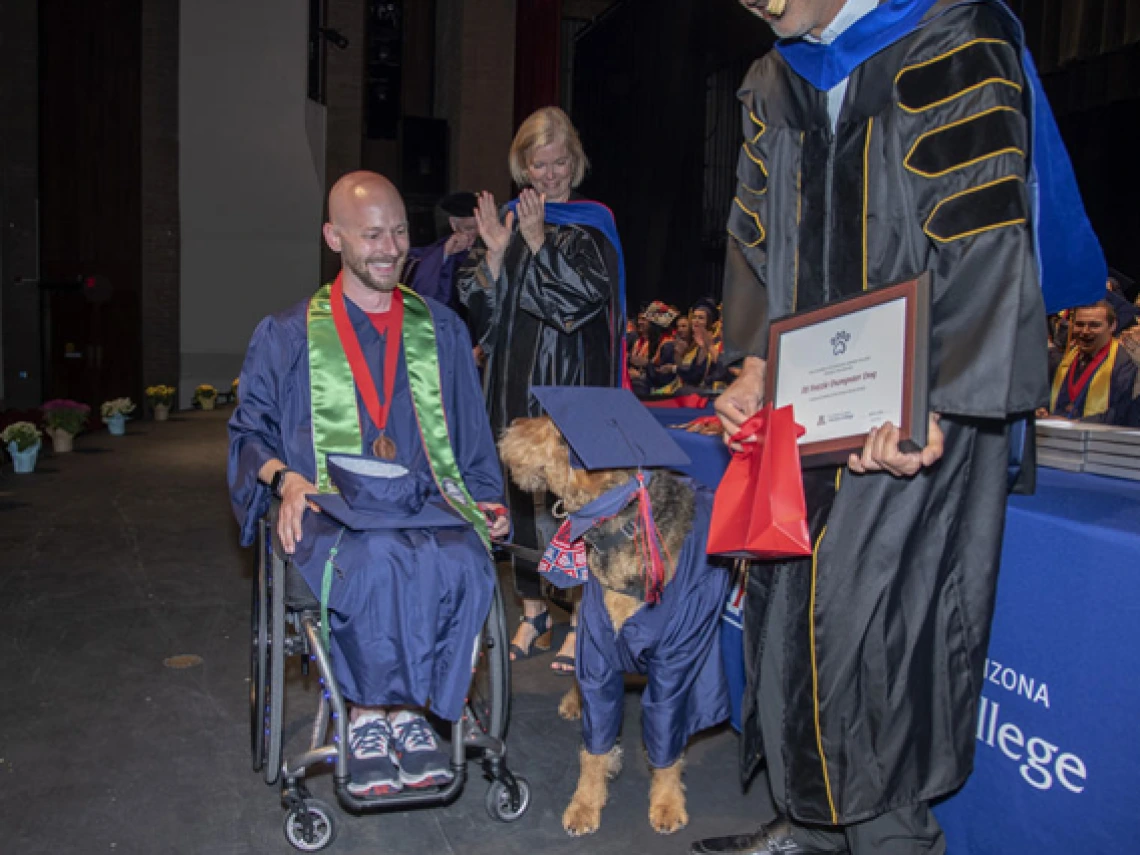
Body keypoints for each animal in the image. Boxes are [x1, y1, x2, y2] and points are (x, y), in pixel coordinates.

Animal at [497, 414, 702, 839]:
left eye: (561, 437)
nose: (513, 425)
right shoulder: (597, 649)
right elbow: (595, 748)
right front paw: (585, 805)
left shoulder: (675, 661)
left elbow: (667, 739)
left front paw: (667, 803)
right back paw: (572, 701)